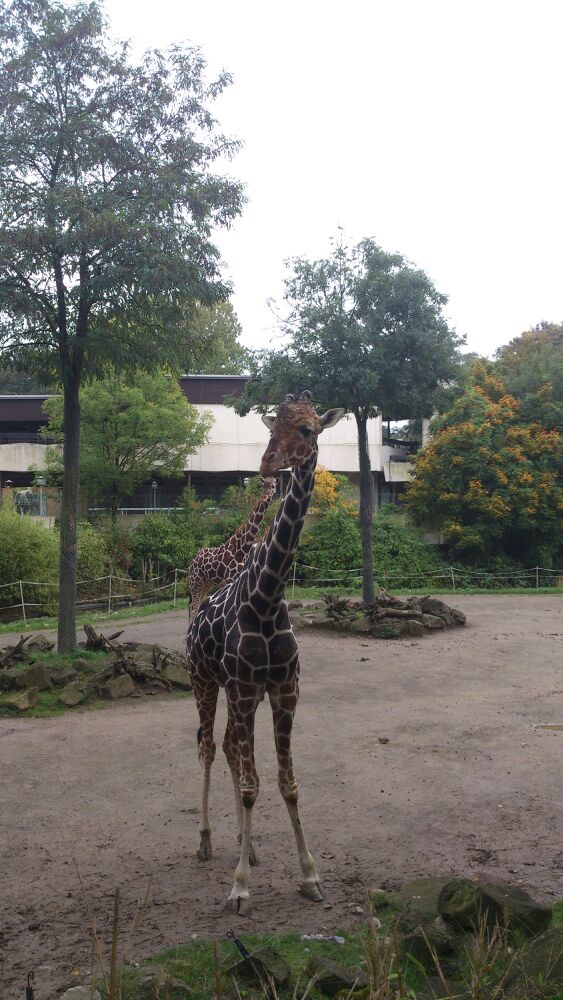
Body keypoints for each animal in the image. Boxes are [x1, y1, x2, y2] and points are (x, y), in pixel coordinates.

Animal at [188, 478, 278, 616]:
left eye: (273, 486)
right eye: (264, 485)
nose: (265, 497)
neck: (243, 548)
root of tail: (192, 562)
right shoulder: (228, 580)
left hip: (206, 583)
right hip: (196, 582)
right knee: (194, 607)